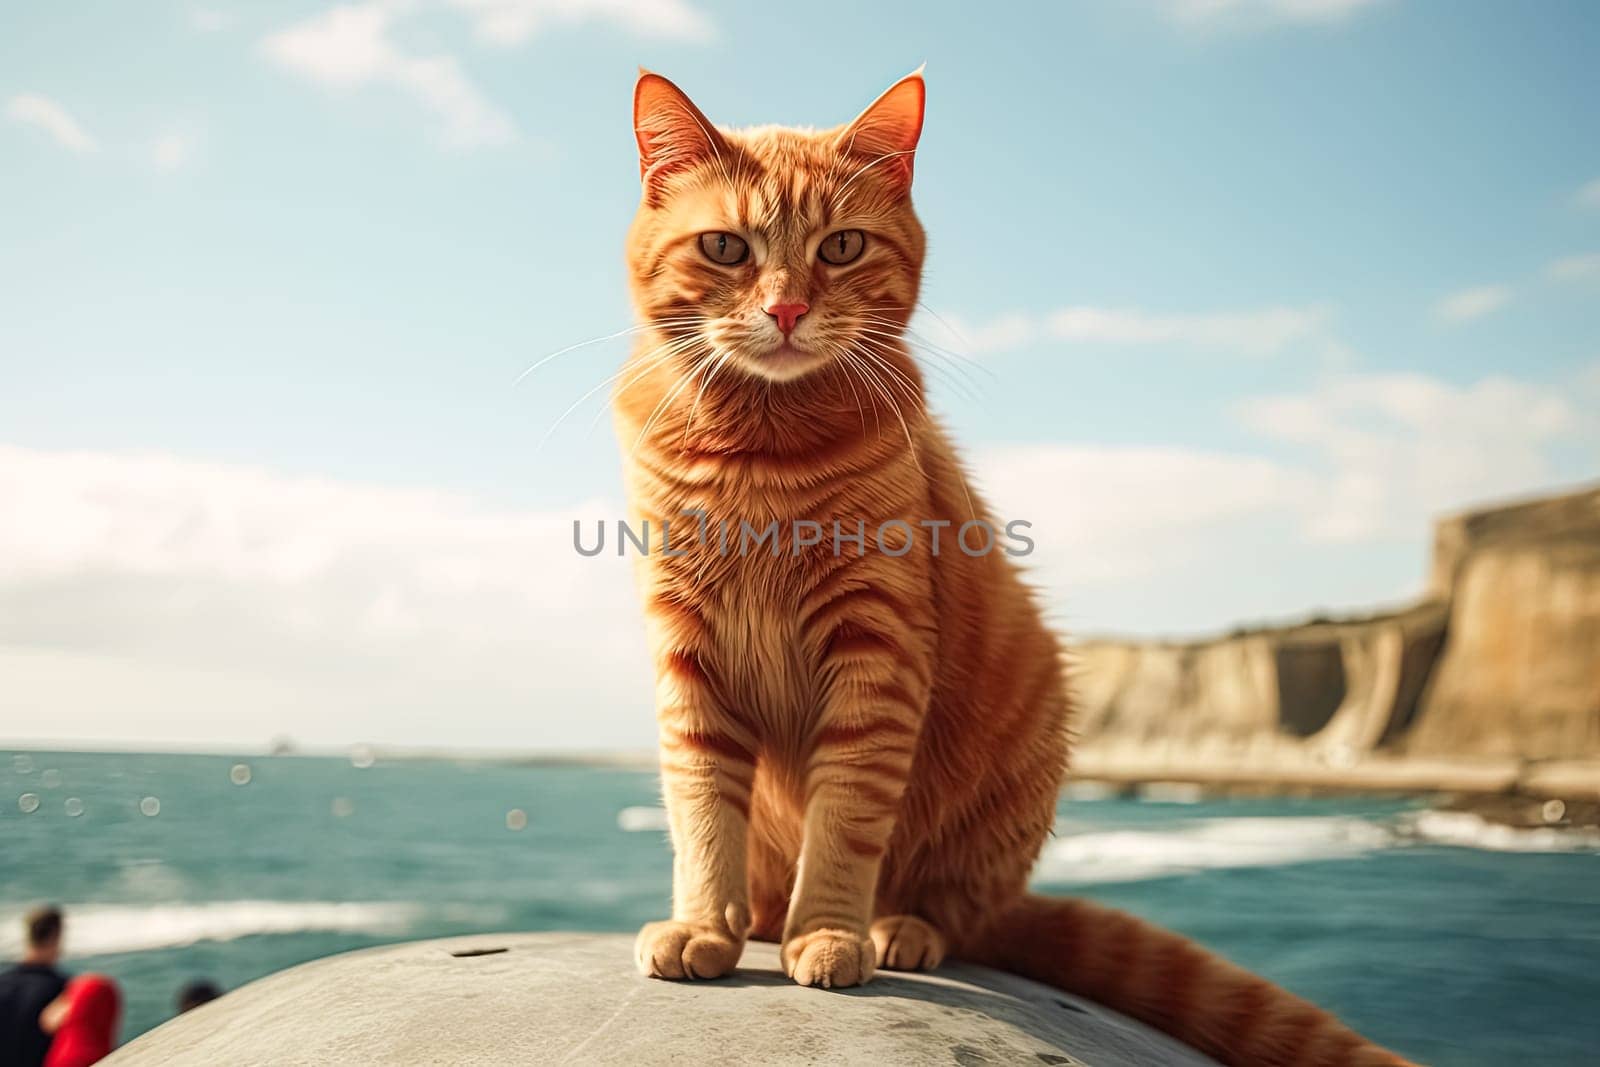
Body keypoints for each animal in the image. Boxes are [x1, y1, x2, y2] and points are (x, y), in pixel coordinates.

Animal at [611, 70, 1414, 1062]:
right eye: (726, 246)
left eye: (841, 247)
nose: (788, 310)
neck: (760, 451)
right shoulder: (688, 652)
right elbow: (700, 812)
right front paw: (704, 926)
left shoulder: (877, 653)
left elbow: (845, 819)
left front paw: (828, 931)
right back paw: (761, 918)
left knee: (958, 911)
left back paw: (896, 928)